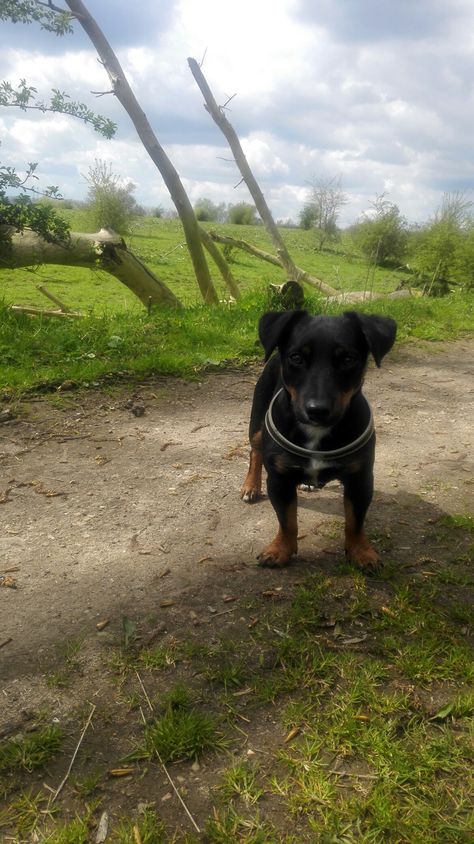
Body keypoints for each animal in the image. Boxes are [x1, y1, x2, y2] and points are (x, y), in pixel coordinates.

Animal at [241, 312, 396, 572]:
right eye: (296, 358)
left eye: (348, 359)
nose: (317, 409)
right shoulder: (279, 479)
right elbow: (287, 520)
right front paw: (280, 550)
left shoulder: (360, 479)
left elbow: (355, 521)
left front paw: (361, 552)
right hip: (257, 421)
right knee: (255, 452)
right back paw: (250, 487)